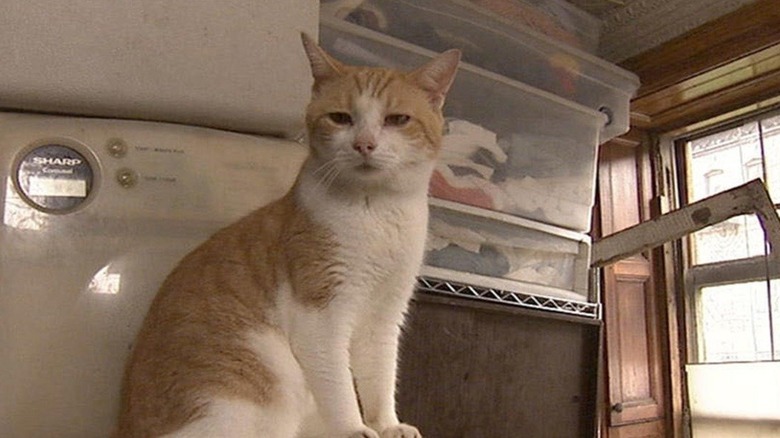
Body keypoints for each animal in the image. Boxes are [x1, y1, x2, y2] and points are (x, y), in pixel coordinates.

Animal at [112, 32, 460, 436]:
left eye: (397, 120)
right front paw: (354, 429)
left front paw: (388, 425)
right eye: (341, 118)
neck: (376, 213)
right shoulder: (322, 317)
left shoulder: (385, 317)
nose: (364, 144)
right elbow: (340, 387)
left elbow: (381, 380)